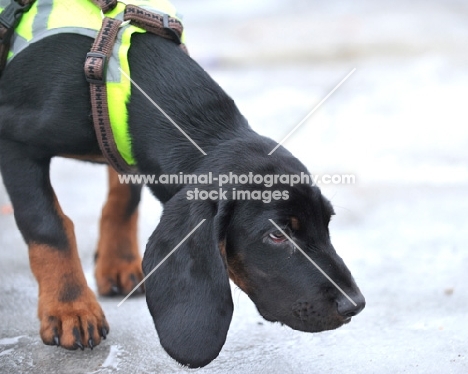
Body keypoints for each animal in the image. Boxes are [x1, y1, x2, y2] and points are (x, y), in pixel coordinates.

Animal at [0, 30, 366, 366]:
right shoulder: (13, 141)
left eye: (327, 222)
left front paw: (117, 261)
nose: (356, 304)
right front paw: (70, 306)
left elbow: (124, 198)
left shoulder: (123, 145)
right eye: (277, 235)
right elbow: (46, 224)